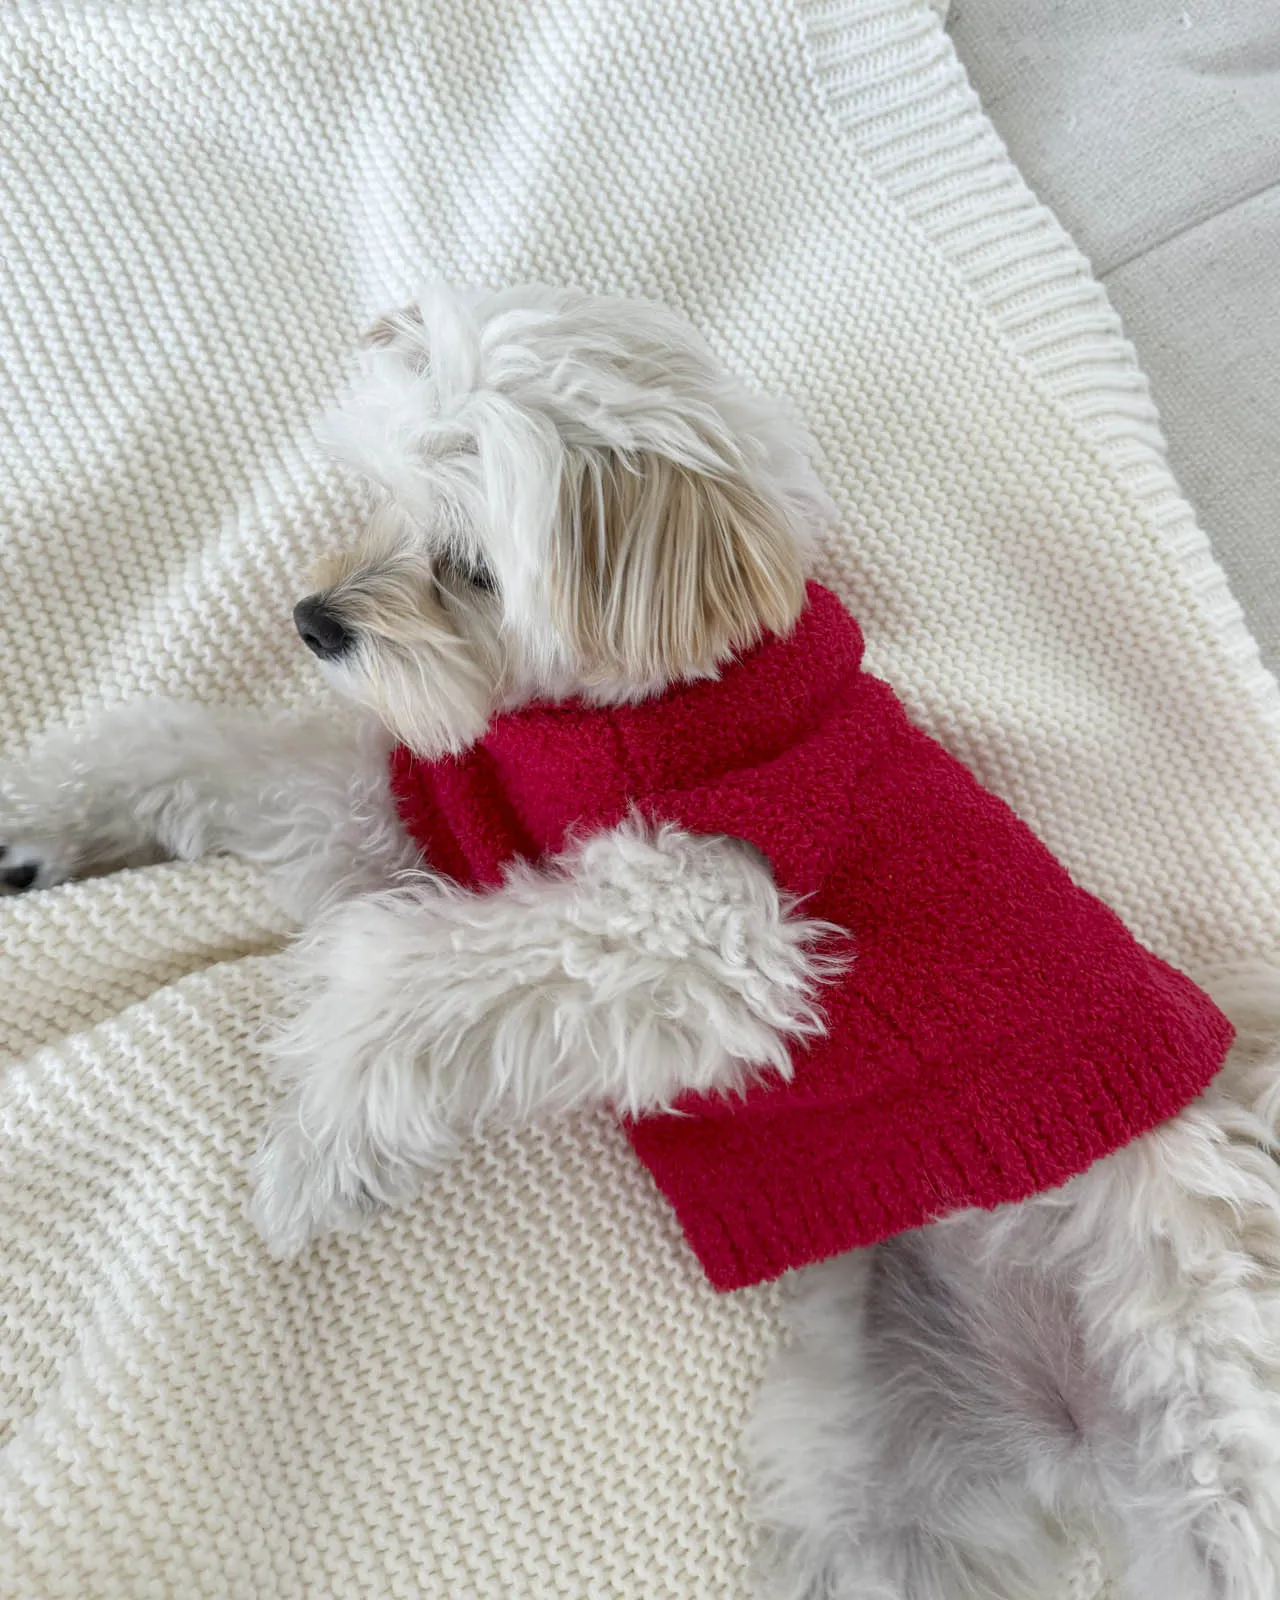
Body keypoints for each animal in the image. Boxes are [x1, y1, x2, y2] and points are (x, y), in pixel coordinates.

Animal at [7, 288, 1280, 1600]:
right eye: (380, 495)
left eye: (469, 569)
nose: (312, 621)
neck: (662, 702)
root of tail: (1067, 1428)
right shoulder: (420, 815)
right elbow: (216, 756)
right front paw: (46, 821)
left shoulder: (704, 929)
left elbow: (402, 978)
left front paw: (317, 1146)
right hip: (879, 1484)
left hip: (1204, 1413)